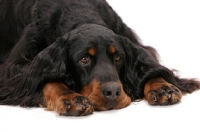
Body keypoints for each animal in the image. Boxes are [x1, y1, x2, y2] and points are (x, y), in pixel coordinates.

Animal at [0, 0, 200, 115]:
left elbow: (148, 68)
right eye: (84, 59)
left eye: (118, 57)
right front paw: (71, 98)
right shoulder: (16, 70)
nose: (112, 92)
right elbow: (48, 80)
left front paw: (162, 86)